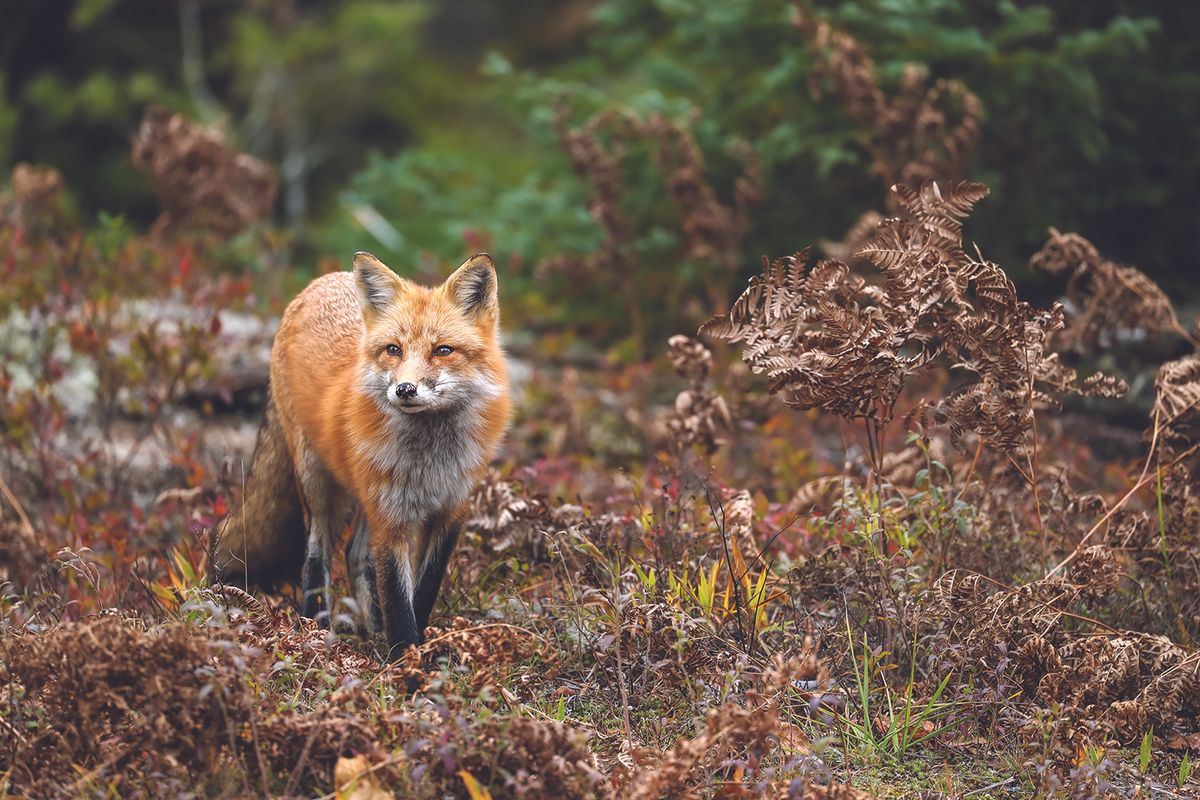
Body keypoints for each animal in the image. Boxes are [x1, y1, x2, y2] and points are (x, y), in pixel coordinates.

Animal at [214, 251, 511, 661]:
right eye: (394, 349)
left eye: (442, 350)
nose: (405, 389)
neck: (430, 463)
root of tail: (318, 283)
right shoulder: (391, 520)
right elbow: (399, 605)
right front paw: (408, 667)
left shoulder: (451, 512)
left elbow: (421, 593)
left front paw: (411, 649)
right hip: (319, 486)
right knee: (318, 555)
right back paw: (316, 630)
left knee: (354, 556)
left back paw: (371, 630)